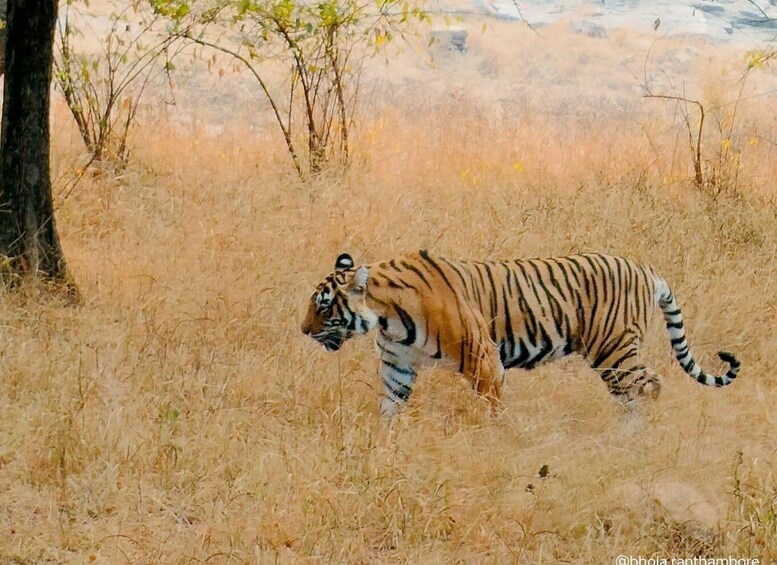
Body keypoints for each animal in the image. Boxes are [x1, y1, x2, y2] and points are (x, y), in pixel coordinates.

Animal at [301, 250, 741, 417]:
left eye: (323, 306)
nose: (303, 330)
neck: (386, 318)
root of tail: (647, 270)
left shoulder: (483, 358)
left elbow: (492, 408)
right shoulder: (398, 366)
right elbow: (389, 410)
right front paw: (383, 448)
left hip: (613, 351)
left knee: (645, 387)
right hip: (617, 354)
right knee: (647, 385)